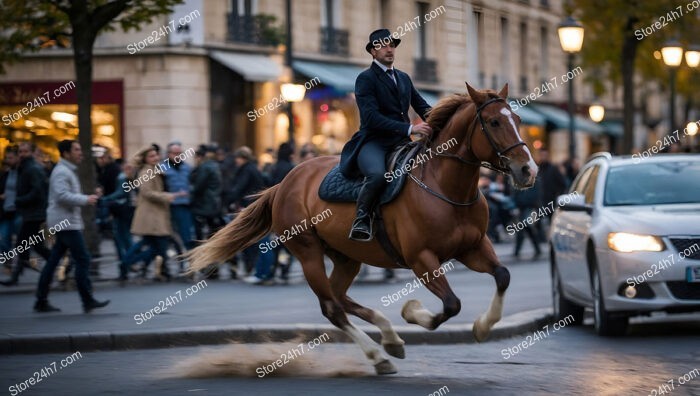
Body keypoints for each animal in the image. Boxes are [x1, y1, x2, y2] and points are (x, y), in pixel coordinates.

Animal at [186, 83, 536, 374]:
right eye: (493, 122)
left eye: (518, 118)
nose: (528, 169)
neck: (446, 188)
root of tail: (285, 181)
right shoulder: (422, 258)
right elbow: (451, 304)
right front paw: (412, 312)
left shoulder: (473, 247)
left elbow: (502, 276)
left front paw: (483, 326)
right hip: (308, 252)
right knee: (332, 308)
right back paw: (378, 355)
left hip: (346, 256)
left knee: (339, 296)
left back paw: (390, 338)